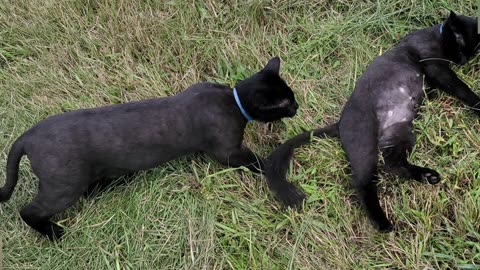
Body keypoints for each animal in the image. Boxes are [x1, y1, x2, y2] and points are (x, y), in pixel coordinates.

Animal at [266, 12, 480, 232]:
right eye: (460, 43)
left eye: (474, 50)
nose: (464, 60)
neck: (435, 35)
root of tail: (339, 124)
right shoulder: (436, 67)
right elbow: (462, 89)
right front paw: (479, 105)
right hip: (366, 144)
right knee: (363, 182)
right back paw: (382, 222)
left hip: (401, 133)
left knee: (393, 165)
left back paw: (426, 176)